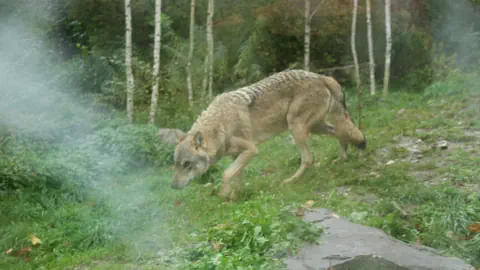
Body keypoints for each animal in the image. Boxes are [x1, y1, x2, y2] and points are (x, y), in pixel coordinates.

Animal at [171, 69, 366, 200]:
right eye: (176, 164)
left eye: (187, 164)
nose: (173, 186)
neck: (220, 125)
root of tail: (322, 77)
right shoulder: (238, 155)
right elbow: (236, 176)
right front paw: (237, 196)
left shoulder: (251, 149)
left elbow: (226, 174)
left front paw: (224, 195)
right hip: (315, 127)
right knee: (341, 132)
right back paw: (342, 158)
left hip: (296, 127)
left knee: (309, 158)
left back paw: (290, 181)